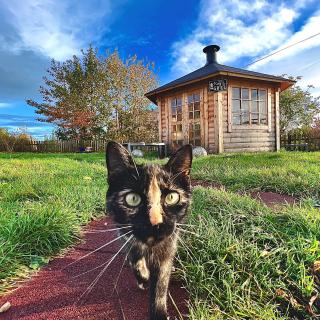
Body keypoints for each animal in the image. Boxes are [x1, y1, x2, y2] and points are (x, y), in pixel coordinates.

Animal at [106, 142, 192, 320]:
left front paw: (159, 313)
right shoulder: (124, 234)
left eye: (172, 197)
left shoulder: (168, 247)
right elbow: (134, 256)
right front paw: (143, 276)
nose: (155, 224)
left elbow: (160, 286)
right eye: (132, 199)